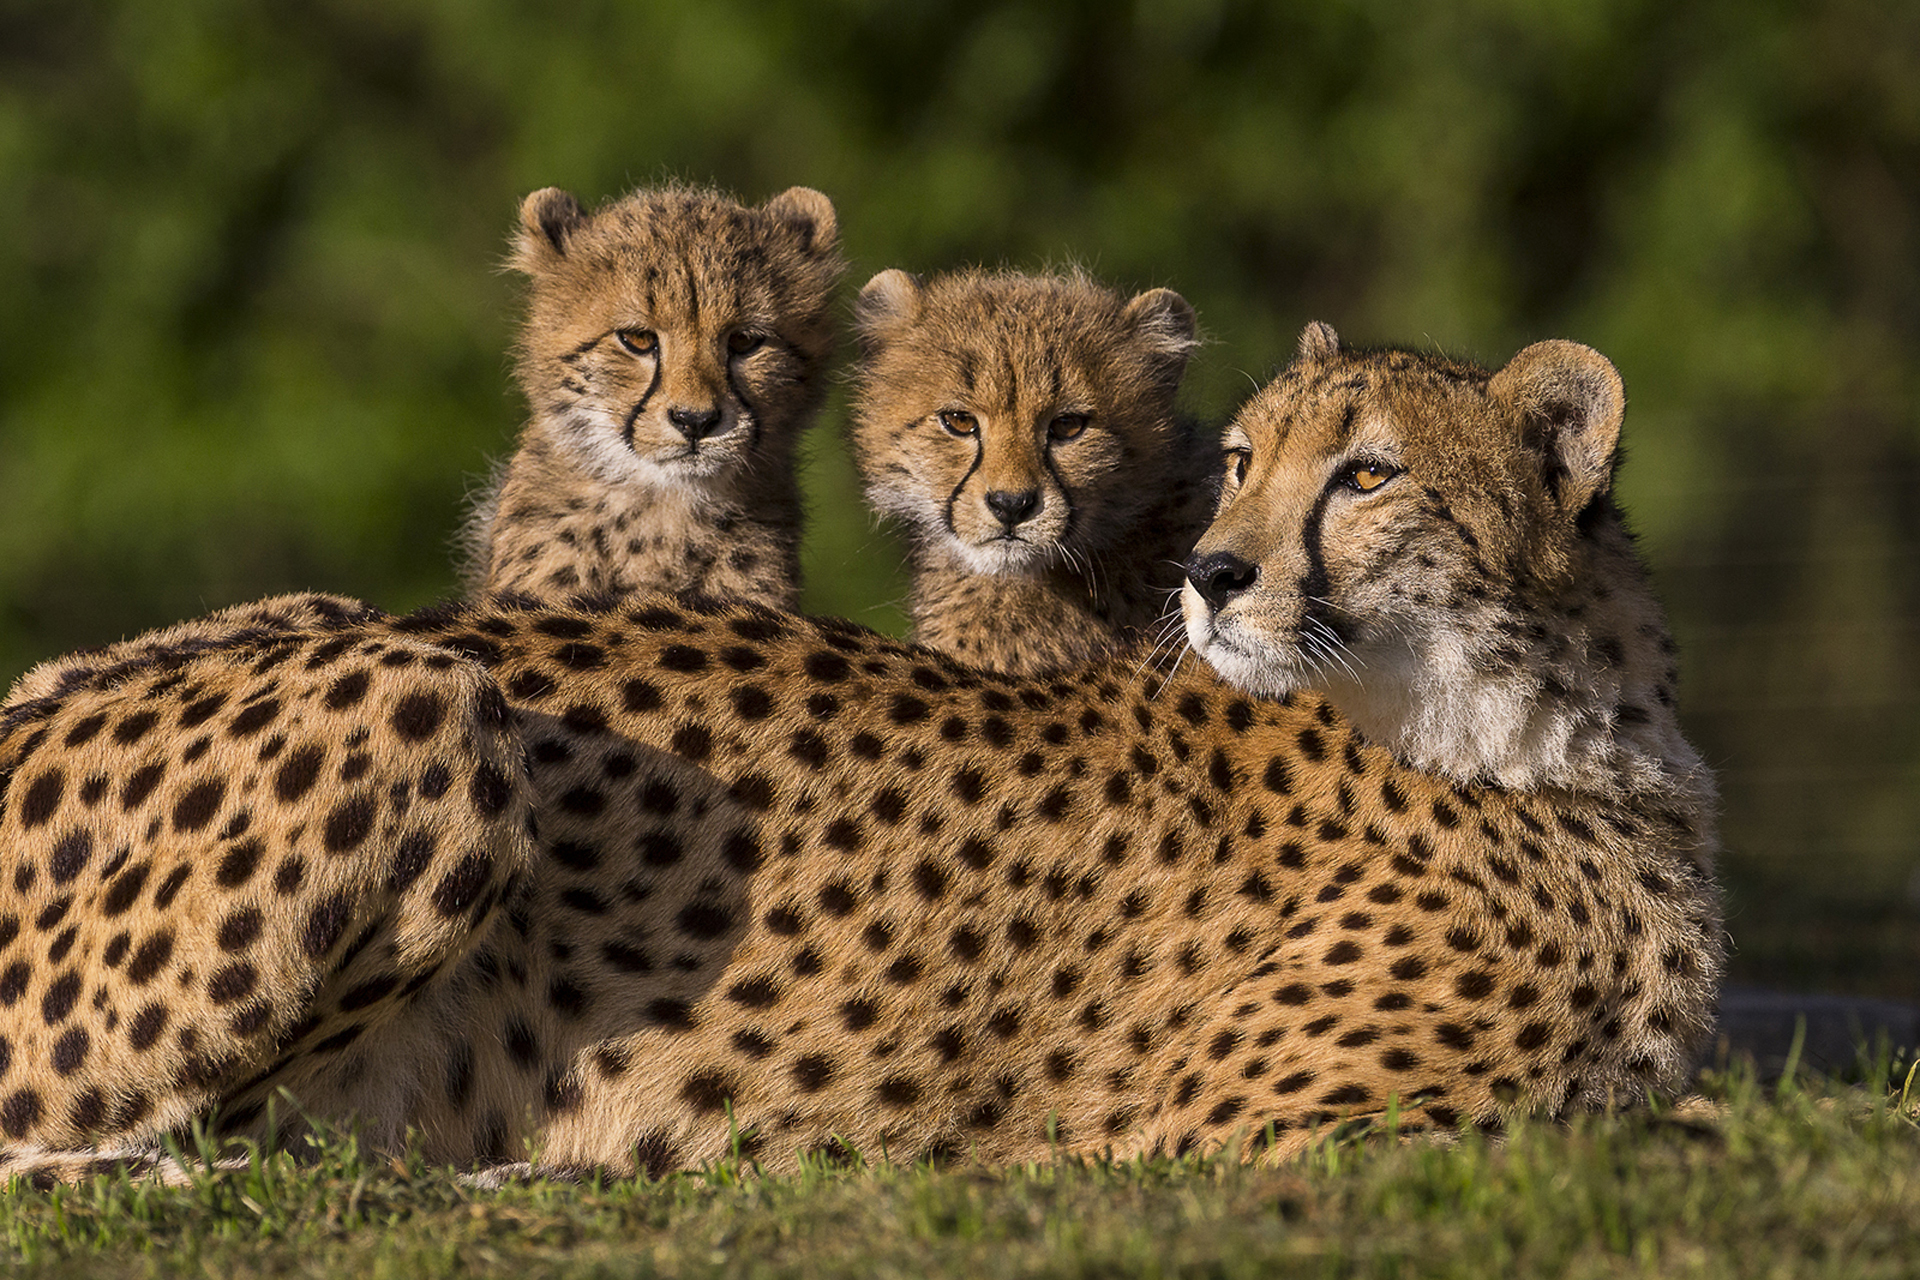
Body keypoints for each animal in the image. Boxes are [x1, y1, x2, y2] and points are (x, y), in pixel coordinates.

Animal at [0, 328, 1728, 1182]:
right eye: (1245, 459)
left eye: (1365, 473)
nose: (1213, 574)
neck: (1535, 725)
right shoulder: (1206, 1141)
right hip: (425, 690)